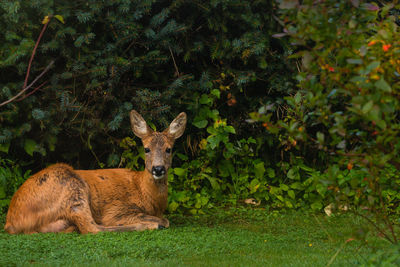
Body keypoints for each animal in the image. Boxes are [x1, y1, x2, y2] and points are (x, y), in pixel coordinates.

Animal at [3, 110, 188, 234]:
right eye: (147, 149)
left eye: (169, 149)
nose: (158, 169)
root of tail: (11, 222)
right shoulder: (116, 210)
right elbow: (165, 220)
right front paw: (155, 222)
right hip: (73, 188)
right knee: (91, 228)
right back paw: (147, 226)